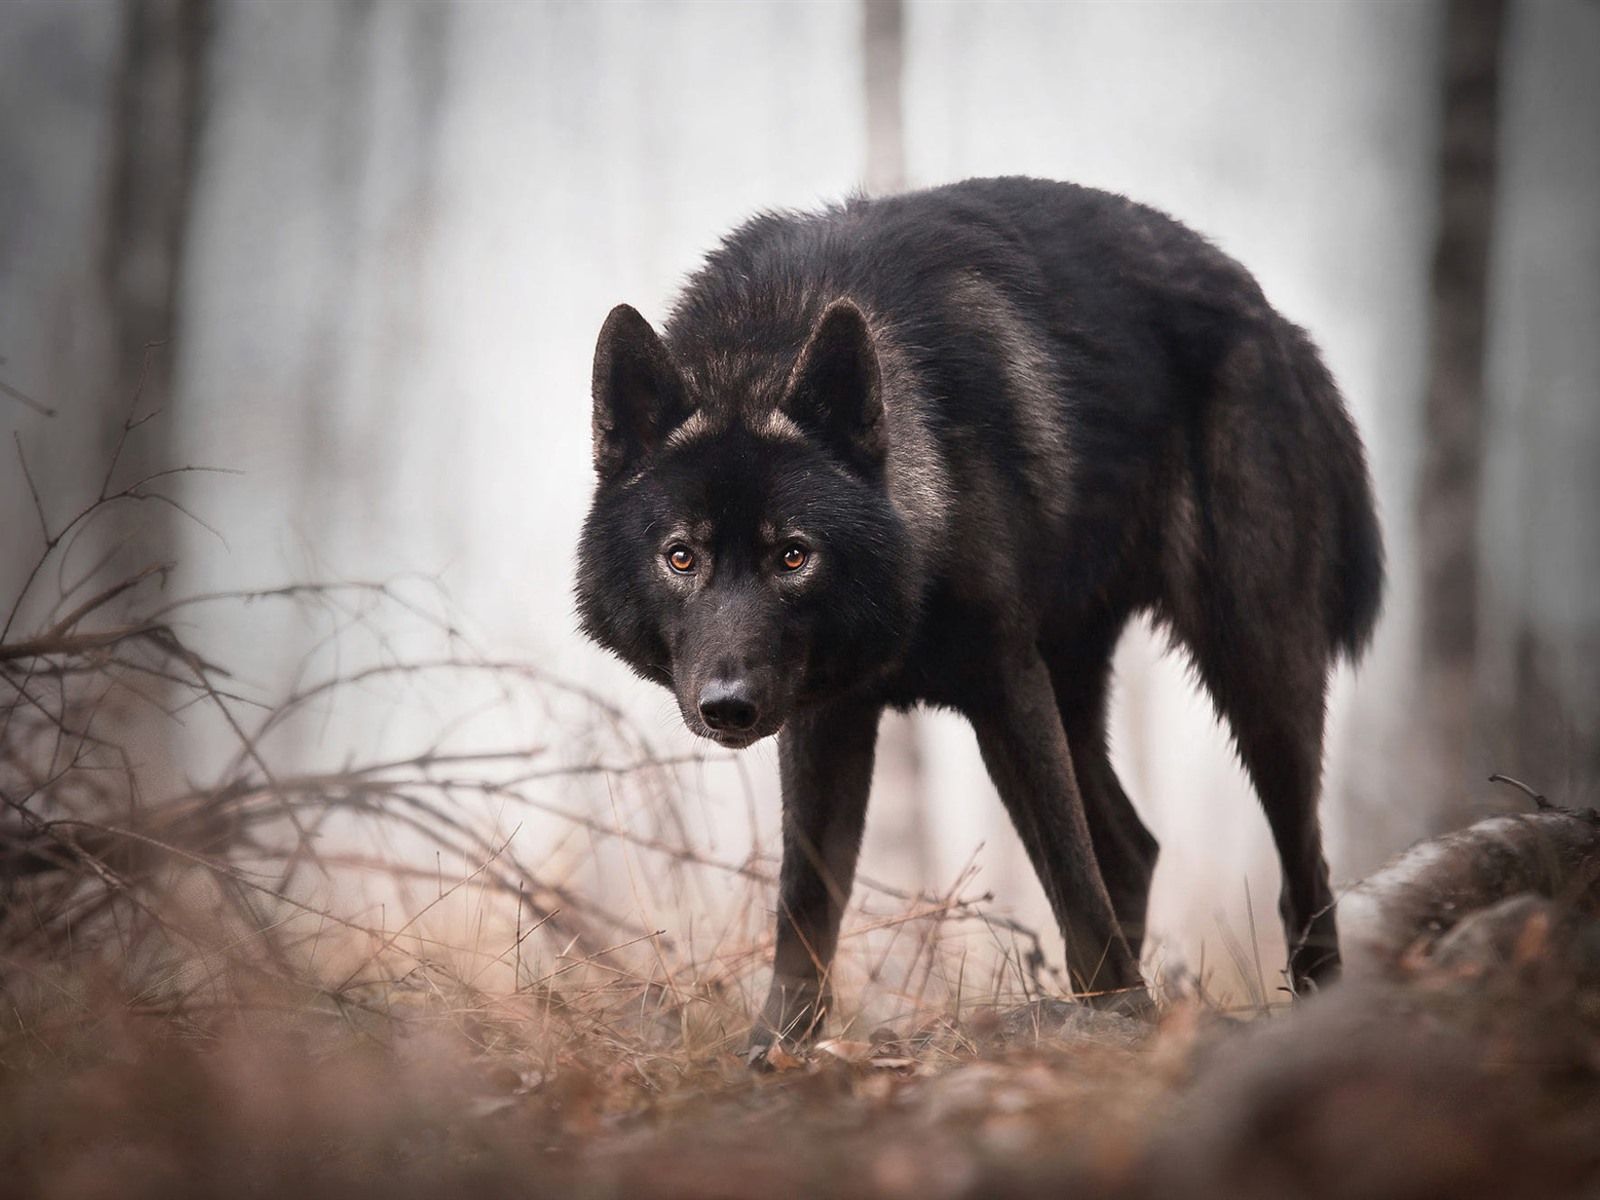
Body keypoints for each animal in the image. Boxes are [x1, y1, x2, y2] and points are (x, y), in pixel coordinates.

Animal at [575, 176, 1383, 1058]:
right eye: (681, 556)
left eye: (793, 555)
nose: (728, 707)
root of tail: (1276, 320)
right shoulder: (827, 716)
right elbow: (806, 899)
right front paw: (779, 1048)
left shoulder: (1003, 684)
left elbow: (1071, 880)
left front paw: (1122, 1020)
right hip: (1076, 690)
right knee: (1134, 848)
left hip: (1254, 672)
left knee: (1299, 869)